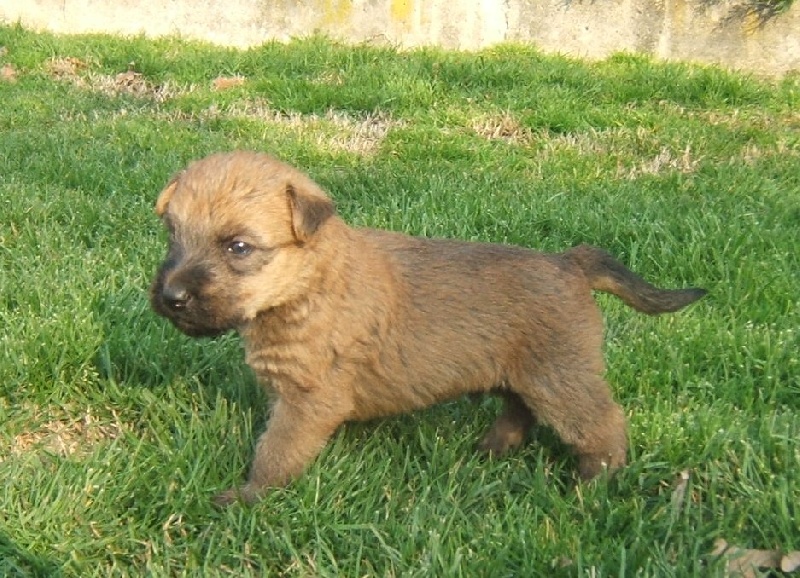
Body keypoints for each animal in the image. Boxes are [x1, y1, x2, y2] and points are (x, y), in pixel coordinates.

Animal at [150, 151, 706, 505]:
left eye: (239, 247)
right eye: (173, 235)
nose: (170, 297)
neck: (308, 284)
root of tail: (569, 263)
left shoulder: (309, 402)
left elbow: (275, 452)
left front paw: (248, 498)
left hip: (562, 377)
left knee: (602, 426)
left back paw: (591, 487)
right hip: (525, 372)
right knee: (519, 411)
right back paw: (490, 450)